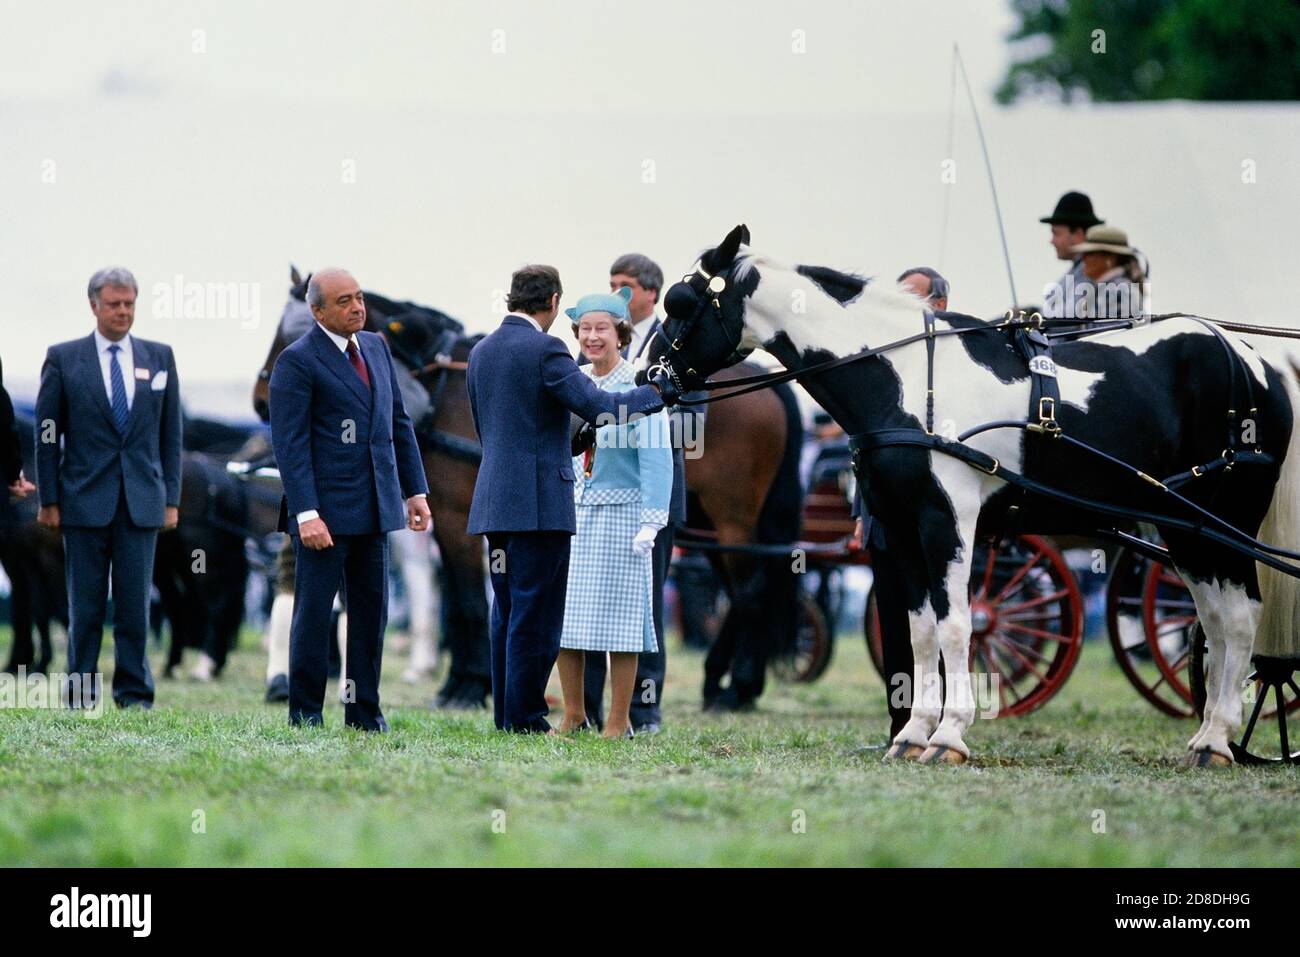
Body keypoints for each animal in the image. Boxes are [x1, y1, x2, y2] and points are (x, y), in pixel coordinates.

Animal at [644, 222, 1300, 764]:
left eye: (681, 303)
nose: (649, 377)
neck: (906, 379)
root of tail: (1253, 359)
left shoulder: (948, 520)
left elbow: (959, 623)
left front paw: (951, 734)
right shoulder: (900, 525)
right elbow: (918, 629)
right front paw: (912, 734)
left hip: (1226, 514)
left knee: (1240, 617)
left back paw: (1219, 739)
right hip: (1184, 526)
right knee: (1212, 621)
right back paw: (1208, 736)